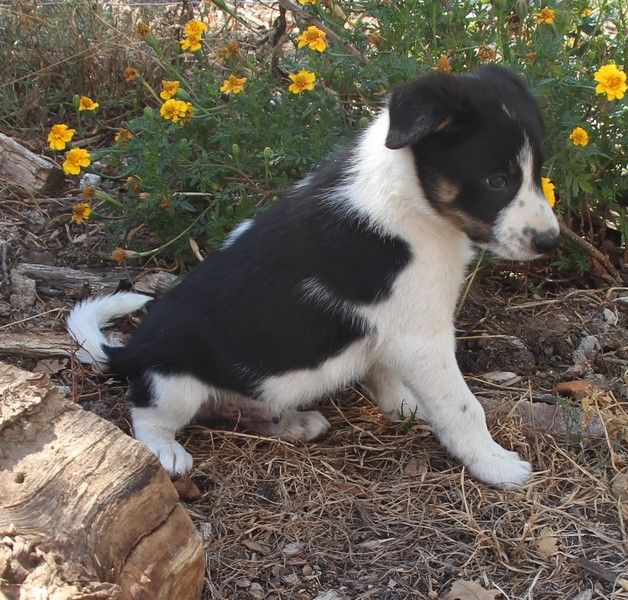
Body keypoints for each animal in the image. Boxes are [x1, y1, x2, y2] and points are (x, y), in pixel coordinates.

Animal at [68, 65, 560, 488]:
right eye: (496, 181)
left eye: (537, 172)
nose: (552, 242)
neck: (409, 199)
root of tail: (129, 351)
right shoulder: (421, 336)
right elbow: (463, 407)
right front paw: (495, 464)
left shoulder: (394, 334)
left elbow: (390, 379)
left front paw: (408, 409)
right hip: (173, 384)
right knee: (145, 415)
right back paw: (168, 452)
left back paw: (295, 422)